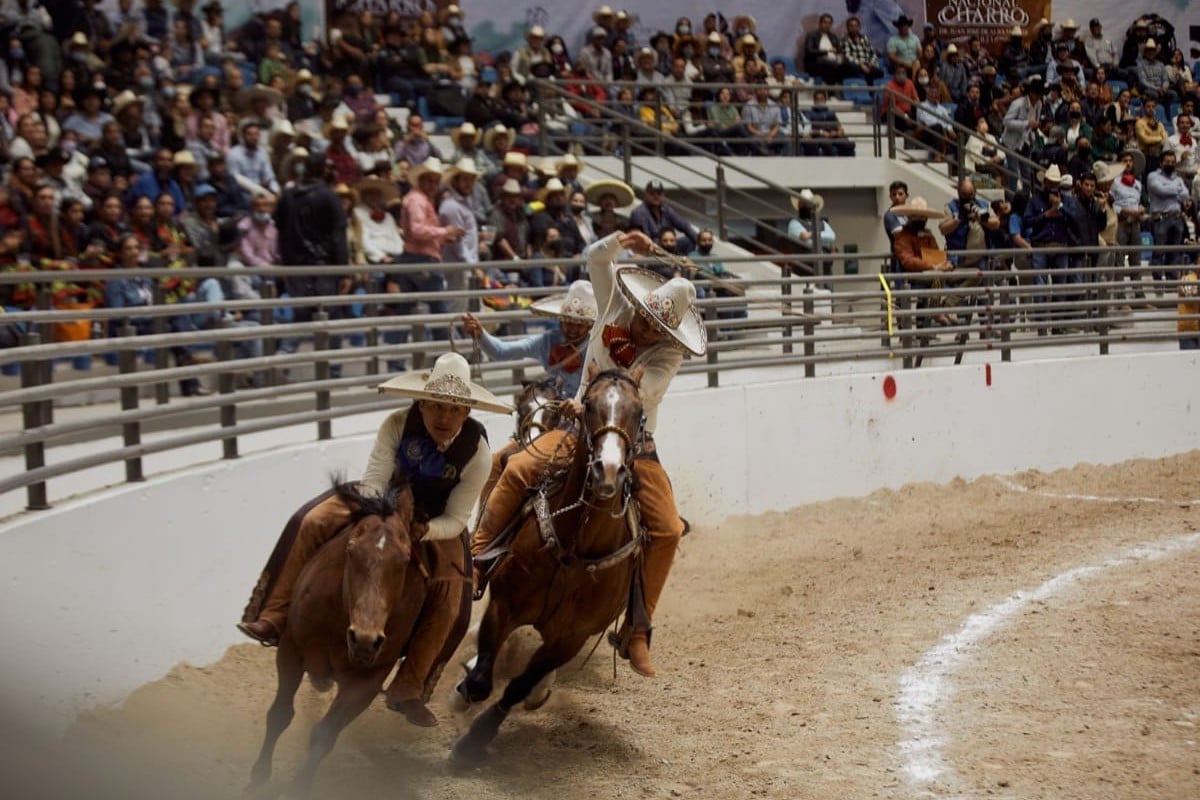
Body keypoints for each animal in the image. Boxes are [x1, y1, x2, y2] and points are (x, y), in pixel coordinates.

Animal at [248, 479, 427, 796]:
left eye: (405, 559)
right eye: (351, 550)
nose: (365, 639)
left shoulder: (367, 682)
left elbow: (324, 735)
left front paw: (299, 788)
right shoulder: (291, 650)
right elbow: (280, 713)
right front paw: (259, 775)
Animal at [448, 367, 643, 767]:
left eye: (639, 411)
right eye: (588, 405)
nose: (608, 471)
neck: (574, 550)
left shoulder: (570, 638)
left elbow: (521, 685)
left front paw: (475, 740)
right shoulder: (504, 605)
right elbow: (482, 676)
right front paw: (463, 690)